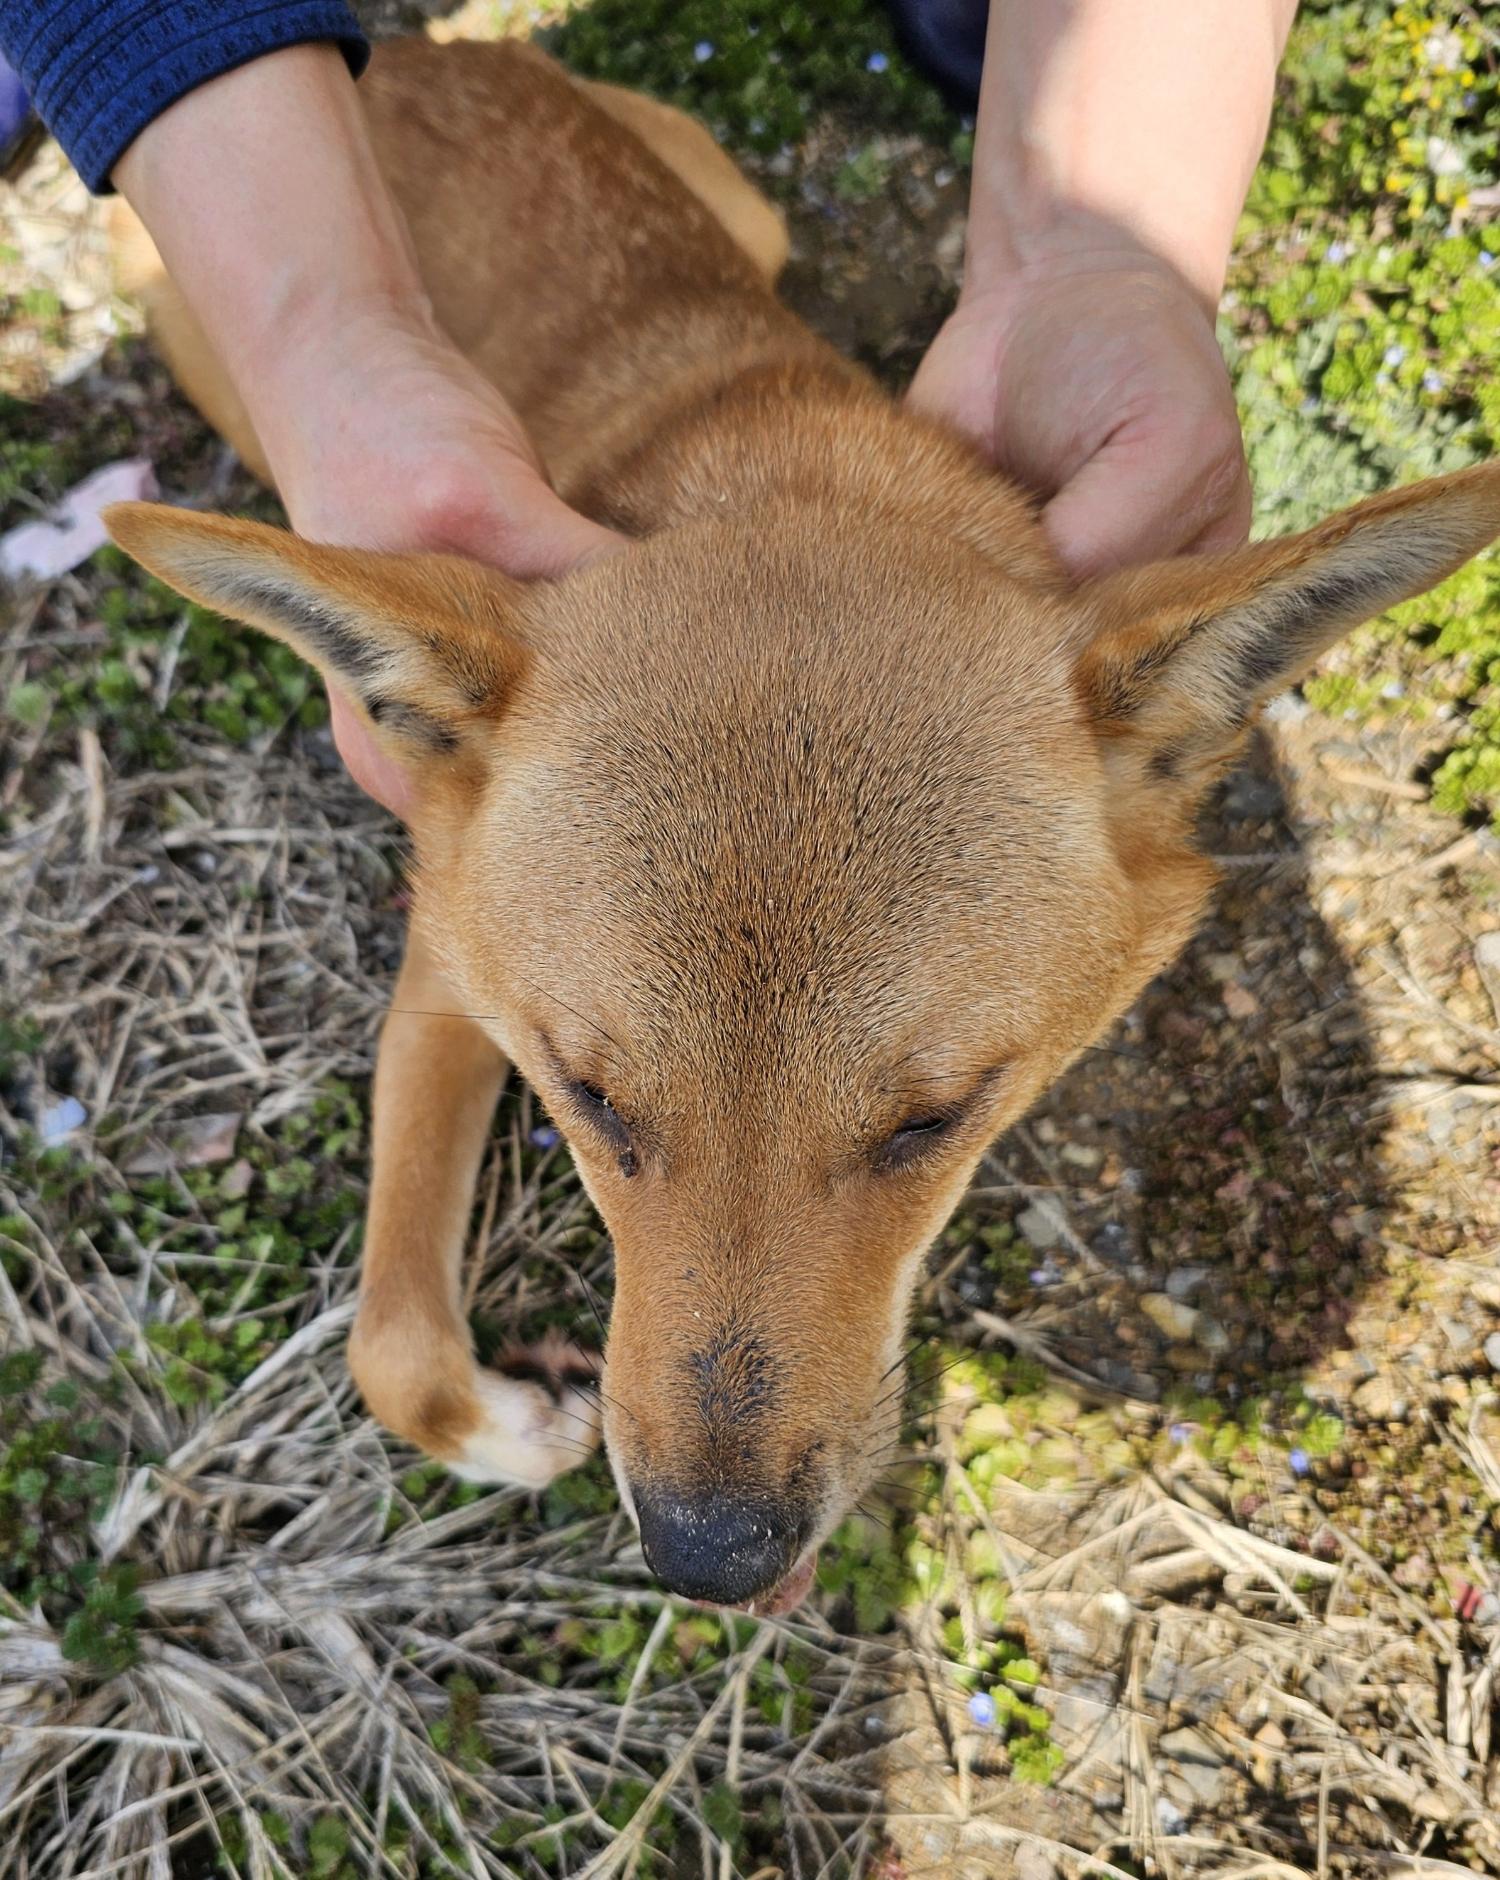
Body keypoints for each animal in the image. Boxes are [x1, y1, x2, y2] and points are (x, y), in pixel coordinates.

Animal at [105, 29, 1500, 1616]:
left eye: (933, 1124)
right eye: (590, 1100)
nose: (708, 1559)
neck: (792, 468)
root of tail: (407, 47)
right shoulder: (447, 978)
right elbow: (391, 1343)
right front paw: (509, 1425)